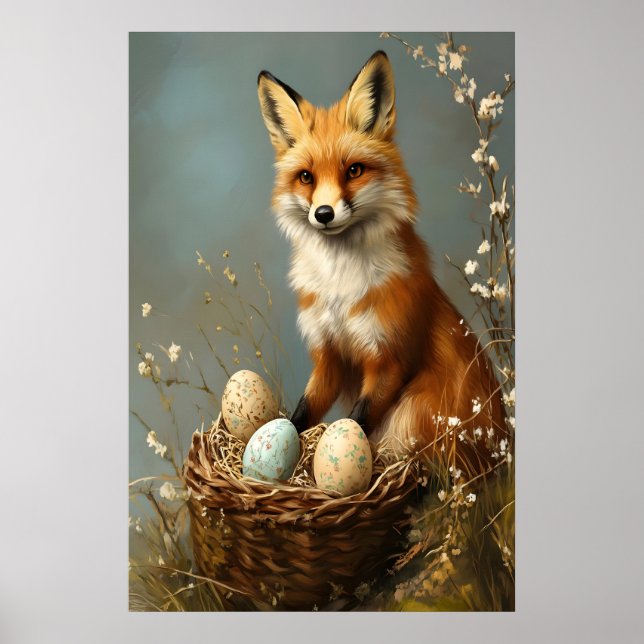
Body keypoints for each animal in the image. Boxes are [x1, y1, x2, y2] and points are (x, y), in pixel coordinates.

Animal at [257, 51, 505, 474]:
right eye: (306, 177)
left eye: (353, 170)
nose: (324, 214)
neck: (339, 287)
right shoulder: (328, 356)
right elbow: (300, 416)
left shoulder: (389, 357)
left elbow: (353, 422)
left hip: (413, 411)